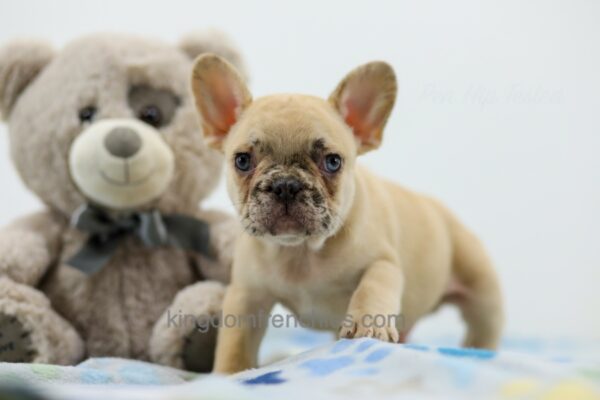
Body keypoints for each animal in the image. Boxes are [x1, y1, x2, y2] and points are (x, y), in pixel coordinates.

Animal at [191, 53, 502, 372]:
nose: (285, 185)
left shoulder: (382, 262)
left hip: (481, 285)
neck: (300, 253)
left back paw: (478, 352)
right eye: (242, 161)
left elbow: (372, 287)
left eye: (332, 162)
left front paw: (368, 325)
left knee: (485, 323)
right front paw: (229, 373)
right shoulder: (247, 295)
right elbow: (235, 342)